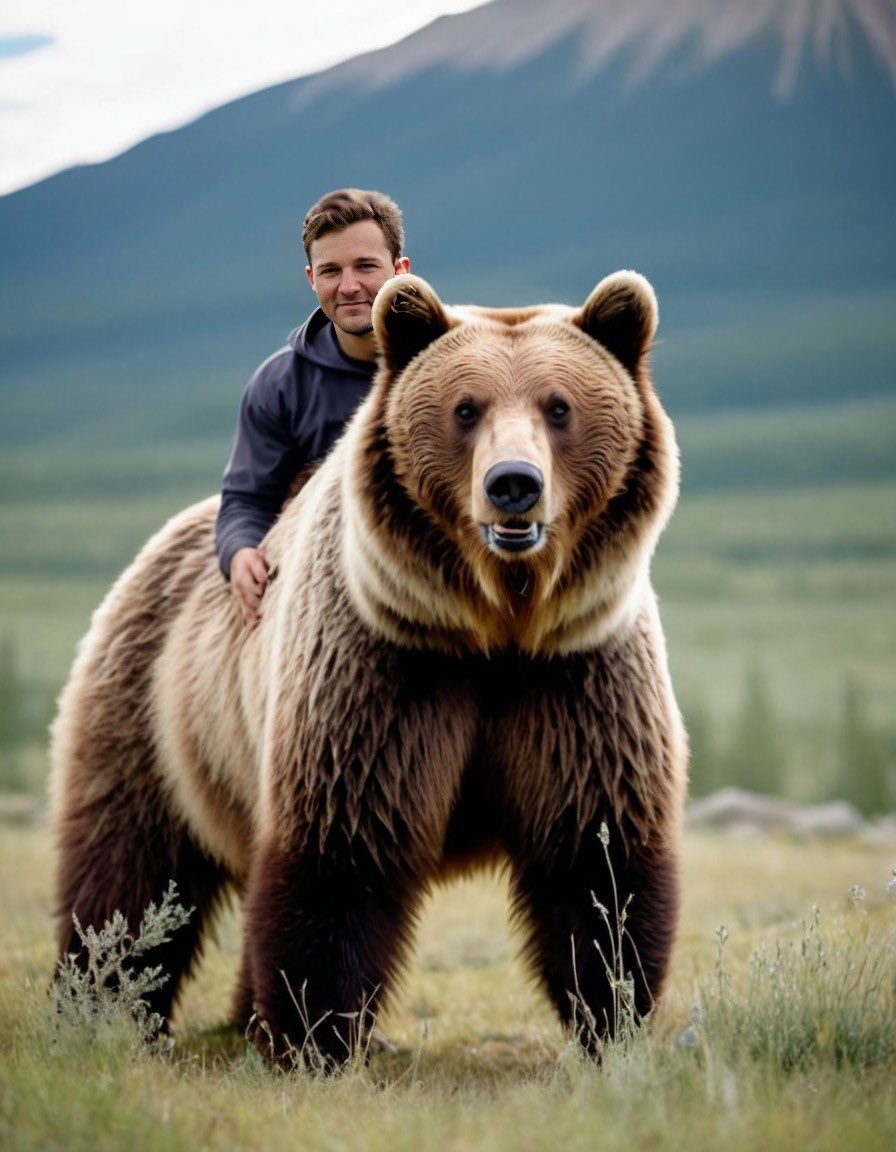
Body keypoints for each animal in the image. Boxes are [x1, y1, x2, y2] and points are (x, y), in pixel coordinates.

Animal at [50, 270, 687, 1068]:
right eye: (466, 408)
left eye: (559, 405)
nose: (513, 484)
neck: (495, 625)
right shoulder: (383, 665)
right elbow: (345, 845)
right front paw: (316, 1034)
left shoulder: (574, 673)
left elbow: (596, 855)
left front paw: (615, 1021)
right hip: (155, 711)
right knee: (128, 869)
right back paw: (101, 1007)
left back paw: (238, 1017)